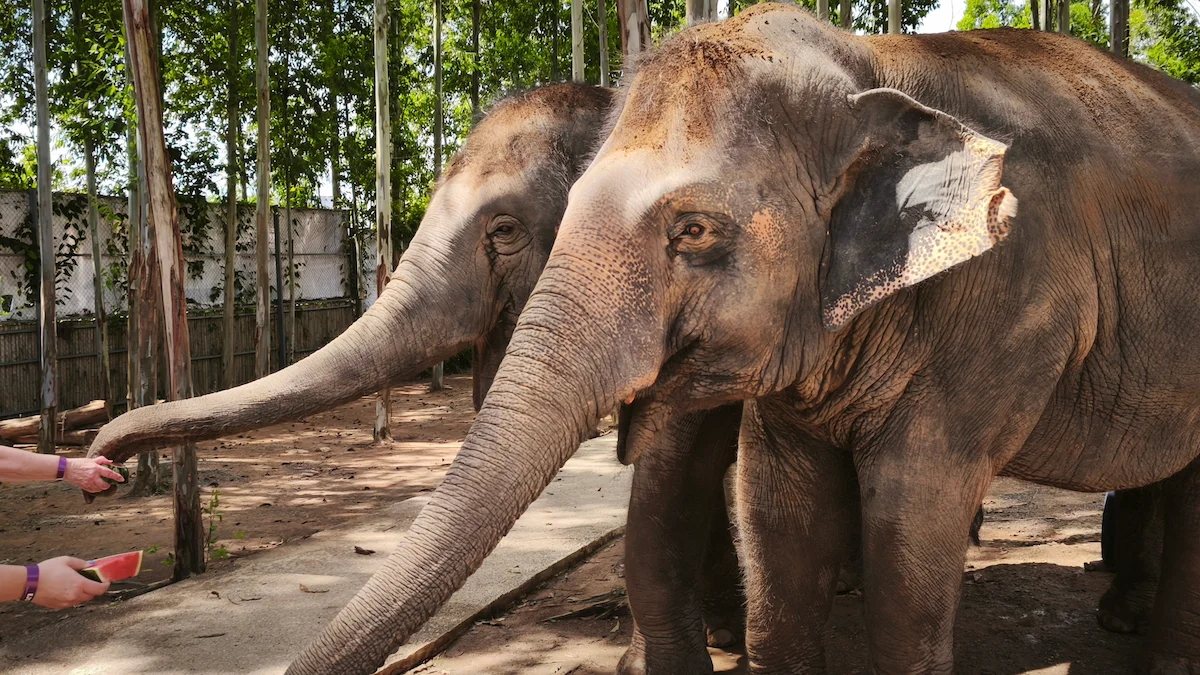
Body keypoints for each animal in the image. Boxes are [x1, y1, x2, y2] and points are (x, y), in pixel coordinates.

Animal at [283, 4, 1200, 674]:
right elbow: (772, 507)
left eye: (504, 231)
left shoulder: (1007, 302)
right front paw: (725, 638)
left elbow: (905, 519)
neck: (874, 67)